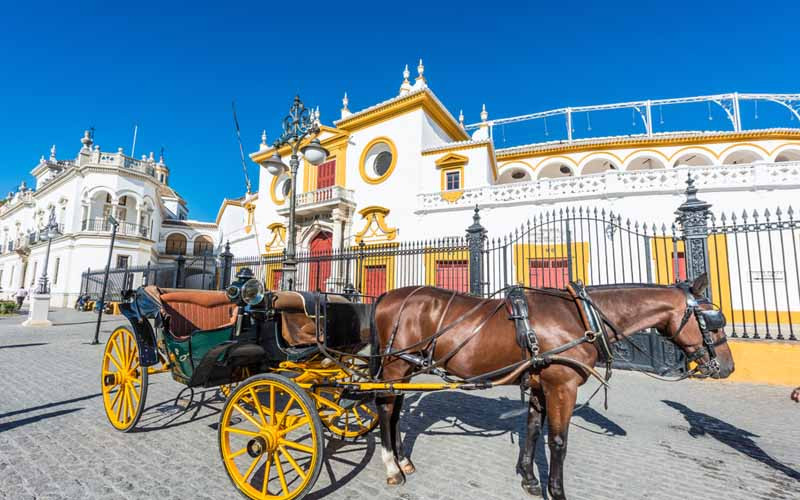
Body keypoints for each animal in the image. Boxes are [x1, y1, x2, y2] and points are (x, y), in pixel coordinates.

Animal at [372, 276, 736, 498]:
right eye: (713, 322)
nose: (728, 367)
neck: (582, 317)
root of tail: (386, 296)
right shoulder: (563, 387)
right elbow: (558, 441)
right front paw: (556, 491)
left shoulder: (540, 384)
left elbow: (533, 429)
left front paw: (529, 478)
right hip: (396, 363)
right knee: (386, 405)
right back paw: (392, 466)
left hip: (407, 366)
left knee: (397, 407)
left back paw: (403, 459)